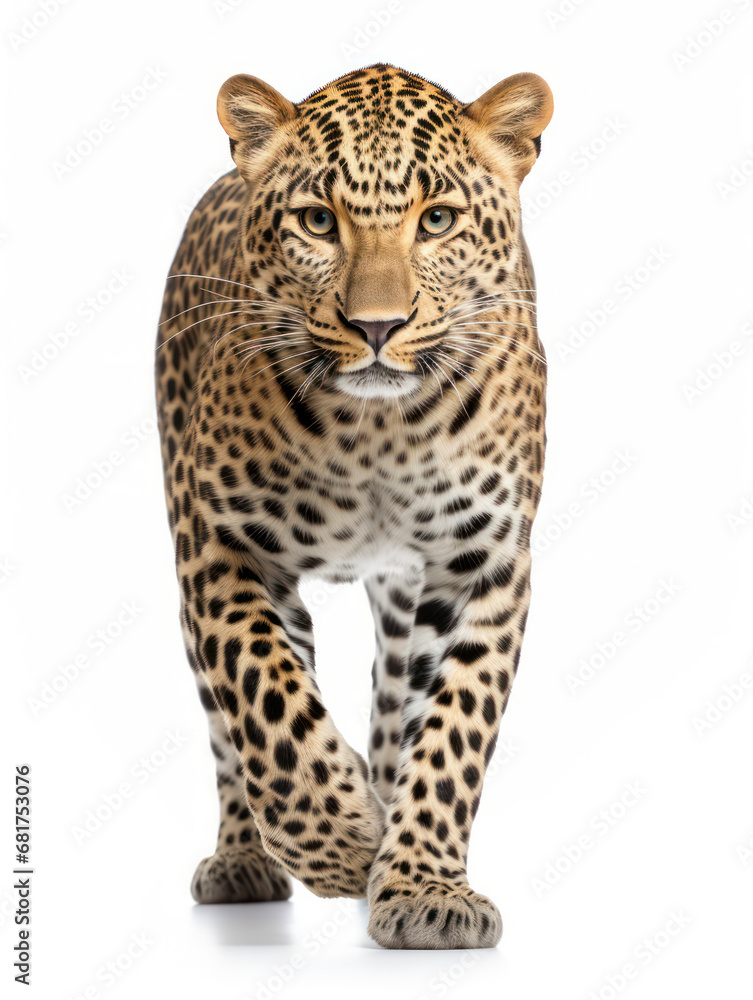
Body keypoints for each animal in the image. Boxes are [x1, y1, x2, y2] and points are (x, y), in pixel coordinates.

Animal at [155, 63, 553, 950]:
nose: (378, 327)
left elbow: (453, 728)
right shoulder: (221, 545)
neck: (377, 435)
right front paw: (341, 843)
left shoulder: (483, 563)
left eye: (436, 220)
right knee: (232, 723)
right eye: (316, 220)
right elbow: (267, 703)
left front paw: (422, 885)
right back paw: (247, 858)